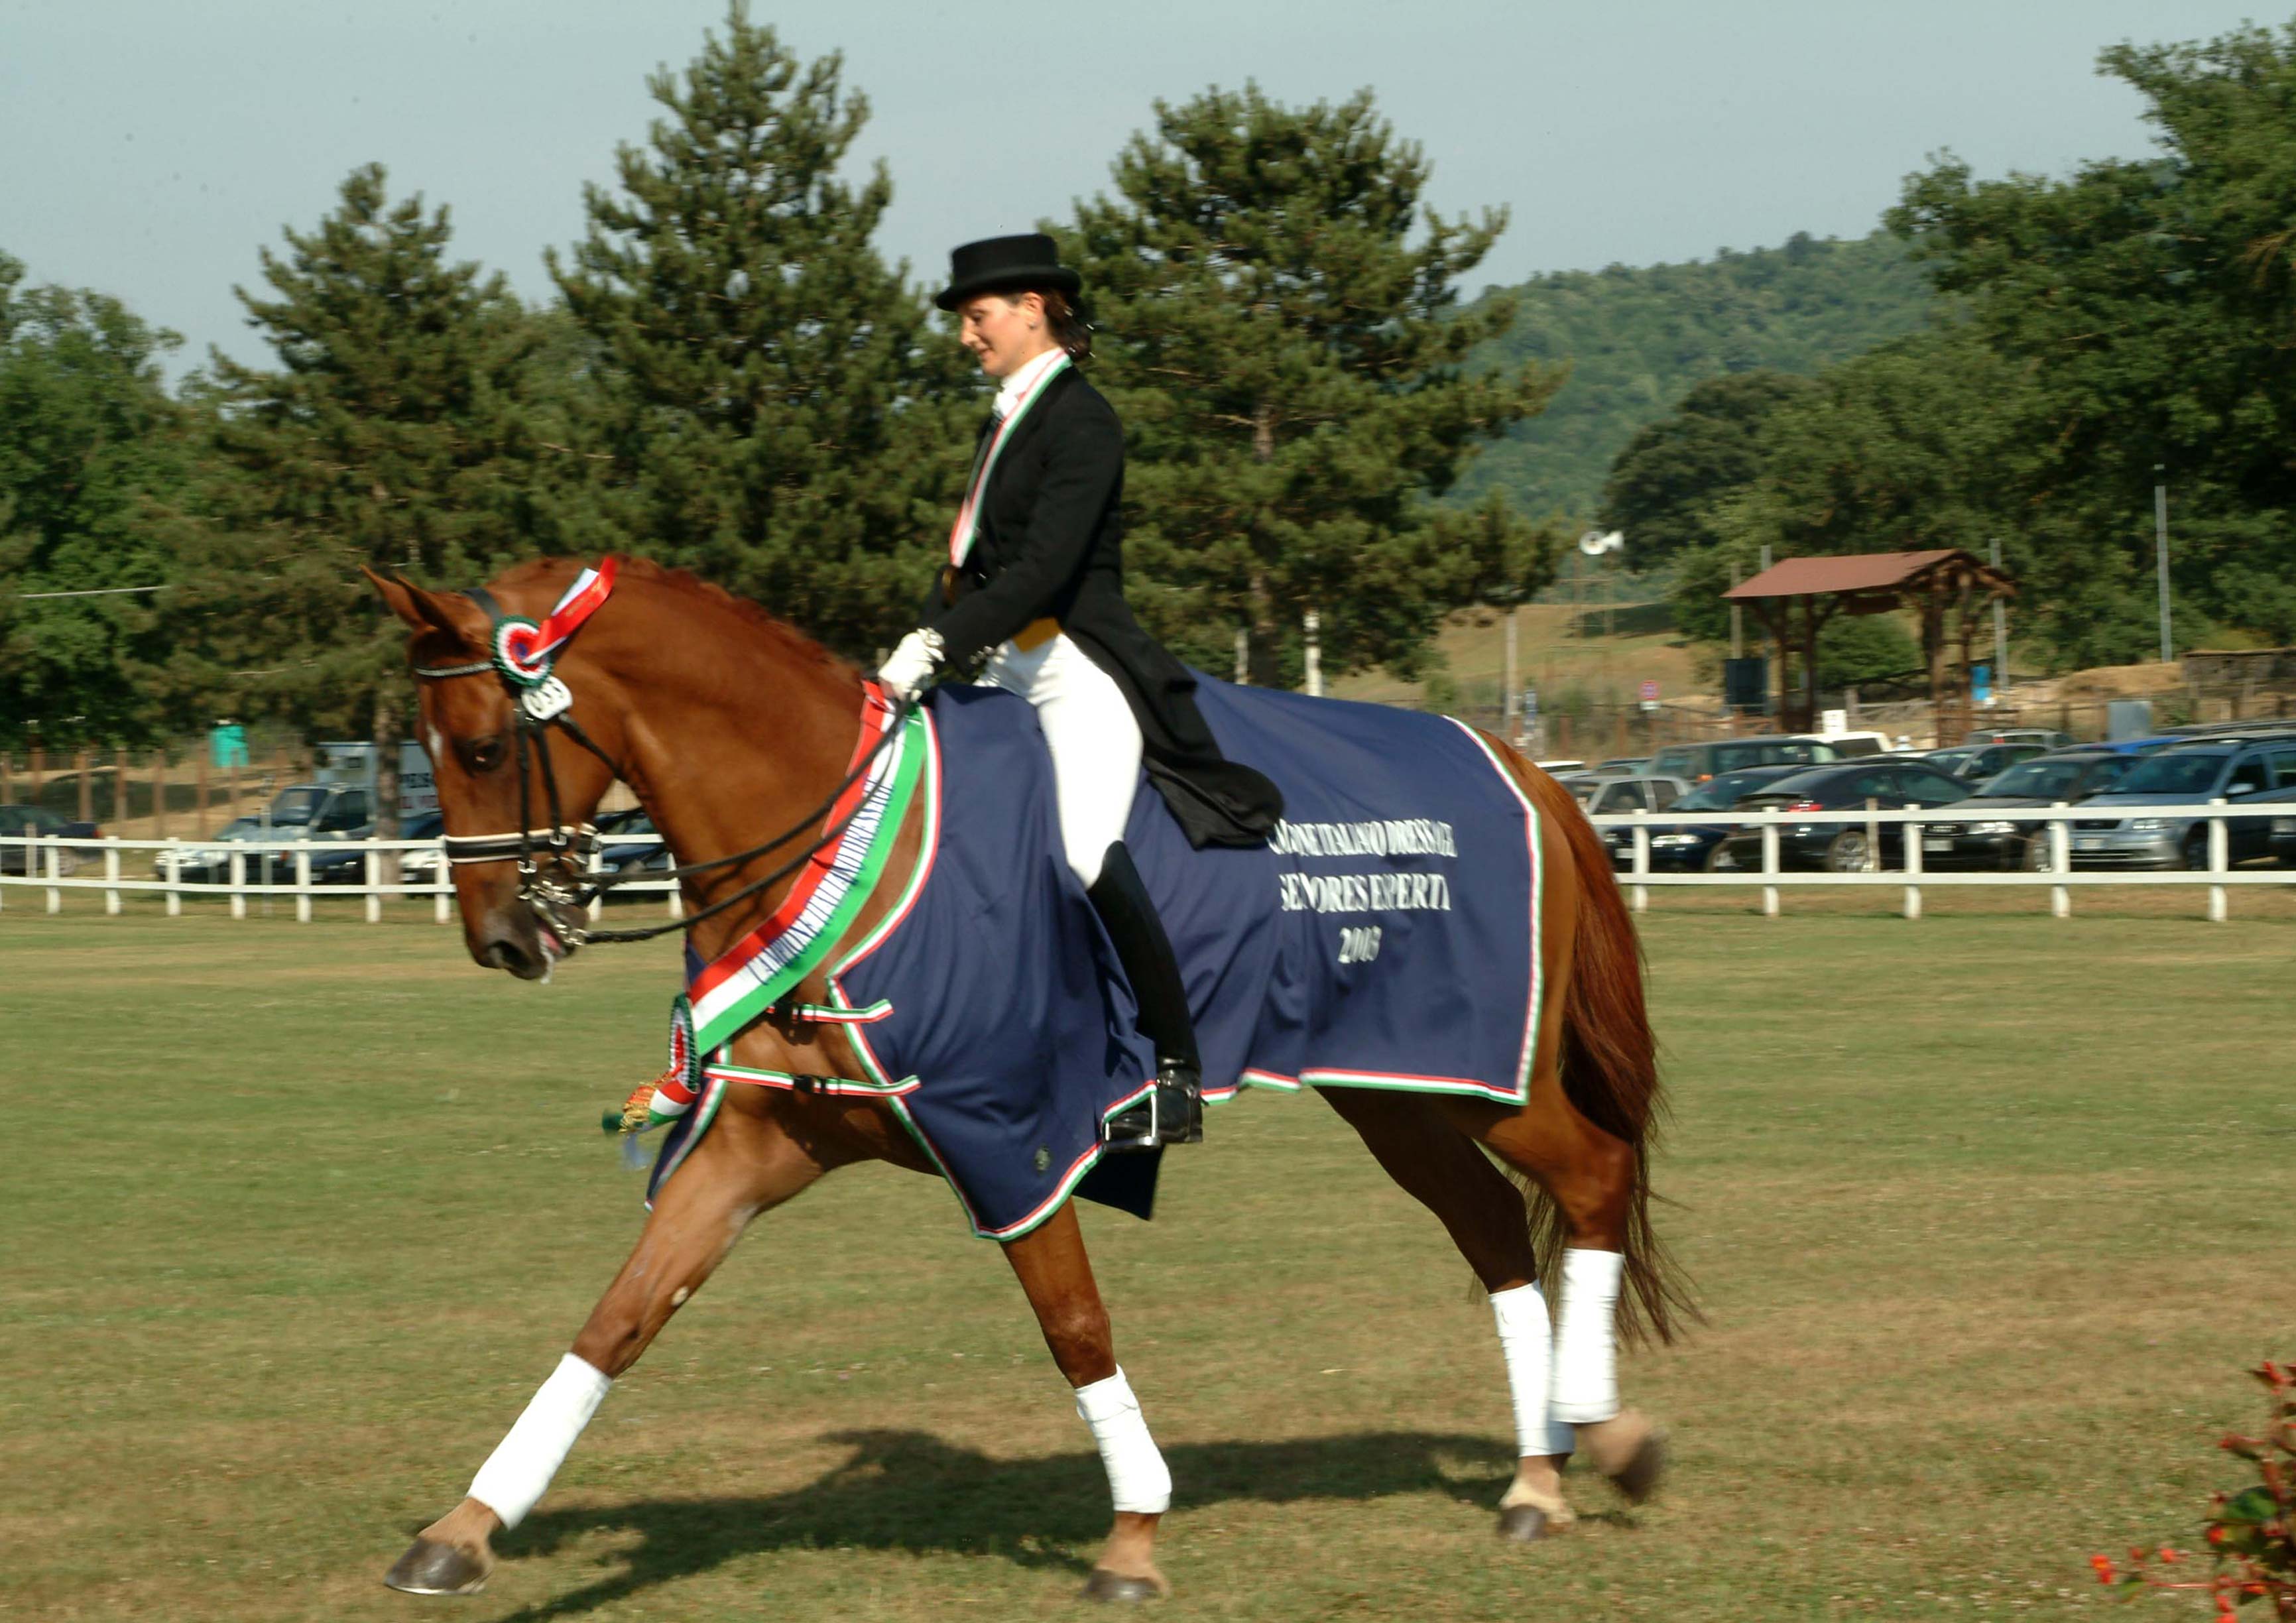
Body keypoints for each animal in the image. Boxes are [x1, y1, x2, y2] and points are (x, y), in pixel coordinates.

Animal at [363, 558, 1689, 1597]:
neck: (834, 834)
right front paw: (464, 1530)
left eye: (482, 745)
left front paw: (1134, 1535)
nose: (502, 939)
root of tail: (1518, 762)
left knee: (1590, 1174)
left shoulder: (1014, 1138)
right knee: (1490, 1229)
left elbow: (1073, 1324)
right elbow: (619, 1318)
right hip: (1394, 1086)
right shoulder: (759, 1145)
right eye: (426, 751)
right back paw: (1534, 1477)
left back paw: (1603, 1435)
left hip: (1483, 1079)